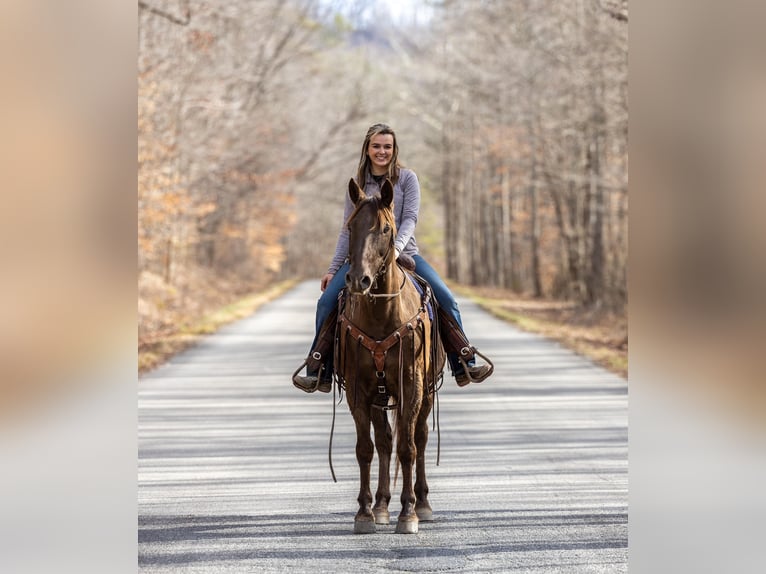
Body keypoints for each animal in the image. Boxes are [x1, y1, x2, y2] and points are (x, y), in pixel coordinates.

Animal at [334, 179, 444, 536]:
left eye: (385, 228)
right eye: (350, 226)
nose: (359, 280)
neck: (382, 315)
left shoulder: (411, 386)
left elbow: (407, 448)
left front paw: (408, 513)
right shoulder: (359, 392)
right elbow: (366, 449)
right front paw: (365, 513)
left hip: (427, 392)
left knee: (419, 438)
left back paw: (422, 504)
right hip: (379, 399)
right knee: (383, 441)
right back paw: (381, 505)